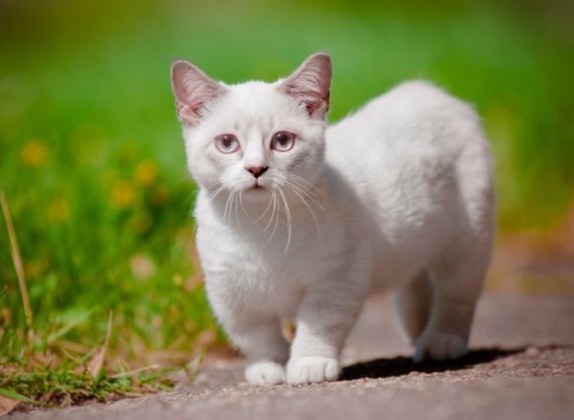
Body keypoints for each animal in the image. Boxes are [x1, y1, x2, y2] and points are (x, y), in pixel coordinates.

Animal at [170, 53, 496, 388]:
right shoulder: (229, 292)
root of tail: (429, 91)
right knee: (415, 287)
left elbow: (319, 324)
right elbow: (256, 335)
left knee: (456, 294)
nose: (256, 168)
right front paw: (268, 367)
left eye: (282, 141)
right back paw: (420, 335)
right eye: (226, 143)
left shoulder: (338, 276)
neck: (260, 227)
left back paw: (441, 340)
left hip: (468, 238)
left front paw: (309, 363)